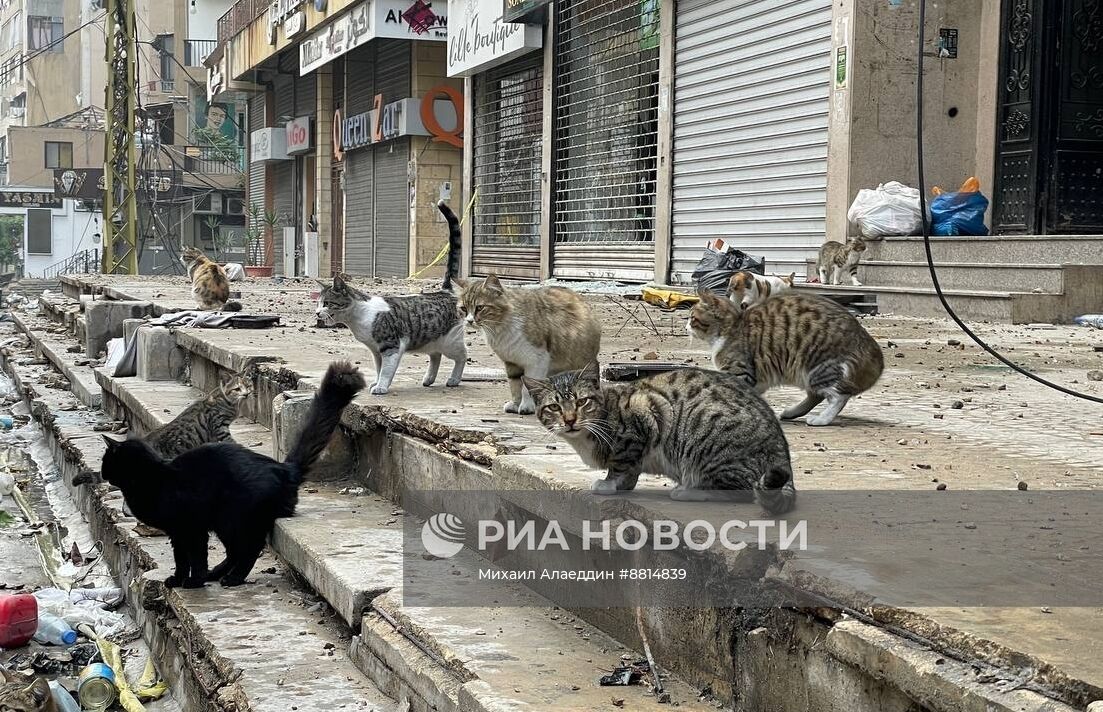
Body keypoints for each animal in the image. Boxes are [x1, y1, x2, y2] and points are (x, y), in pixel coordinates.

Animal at [99, 363, 366, 590]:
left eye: (105, 461)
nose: (101, 473)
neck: (152, 477)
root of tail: (283, 468)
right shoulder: (178, 531)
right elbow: (181, 558)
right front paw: (179, 579)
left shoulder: (191, 528)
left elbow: (195, 557)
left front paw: (194, 581)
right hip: (224, 522)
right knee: (234, 552)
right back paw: (217, 574)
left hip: (234, 517)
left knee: (249, 548)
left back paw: (232, 578)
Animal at [315, 200, 465, 396]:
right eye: (317, 303)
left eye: (327, 303)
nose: (317, 313)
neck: (360, 316)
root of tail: (445, 291)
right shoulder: (376, 351)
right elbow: (379, 369)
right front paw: (376, 382)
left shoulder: (390, 347)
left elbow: (386, 371)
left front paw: (381, 387)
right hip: (430, 339)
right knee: (436, 355)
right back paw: (429, 379)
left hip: (450, 341)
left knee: (462, 356)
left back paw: (454, 379)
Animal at [454, 274, 600, 418]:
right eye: (464, 309)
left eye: (479, 308)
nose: (469, 321)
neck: (500, 327)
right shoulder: (511, 362)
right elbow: (515, 386)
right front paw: (516, 404)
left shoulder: (537, 360)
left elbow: (526, 388)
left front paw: (527, 406)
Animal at [522, 368, 794, 513]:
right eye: (554, 407)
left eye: (582, 402)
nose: (569, 420)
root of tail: (781, 450)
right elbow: (629, 470)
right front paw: (624, 484)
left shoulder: (644, 414)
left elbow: (621, 463)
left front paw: (609, 484)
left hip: (709, 439)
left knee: (742, 490)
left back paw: (688, 491)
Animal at [683, 290, 882, 427]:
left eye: (692, 318)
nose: (685, 327)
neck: (732, 327)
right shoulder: (757, 379)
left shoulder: (740, 371)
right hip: (807, 374)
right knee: (816, 395)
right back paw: (791, 413)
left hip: (818, 367)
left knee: (838, 397)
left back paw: (821, 419)